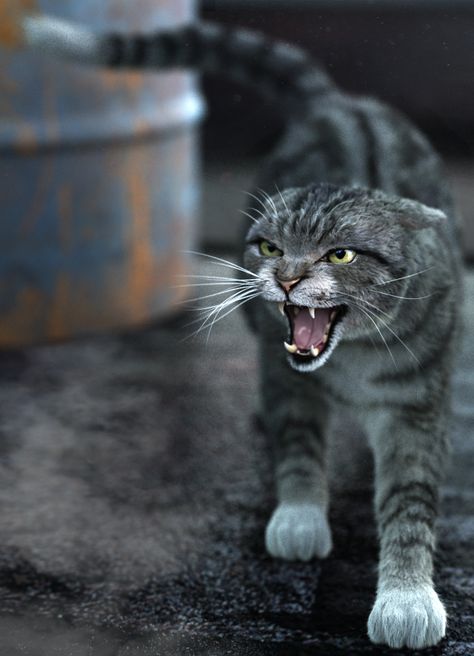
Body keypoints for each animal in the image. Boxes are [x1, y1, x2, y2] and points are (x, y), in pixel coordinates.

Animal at [11, 15, 462, 652]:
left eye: (340, 254)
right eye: (270, 247)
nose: (286, 277)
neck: (352, 357)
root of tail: (337, 100)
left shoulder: (417, 405)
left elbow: (410, 497)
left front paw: (405, 599)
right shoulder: (286, 371)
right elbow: (298, 437)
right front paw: (299, 516)